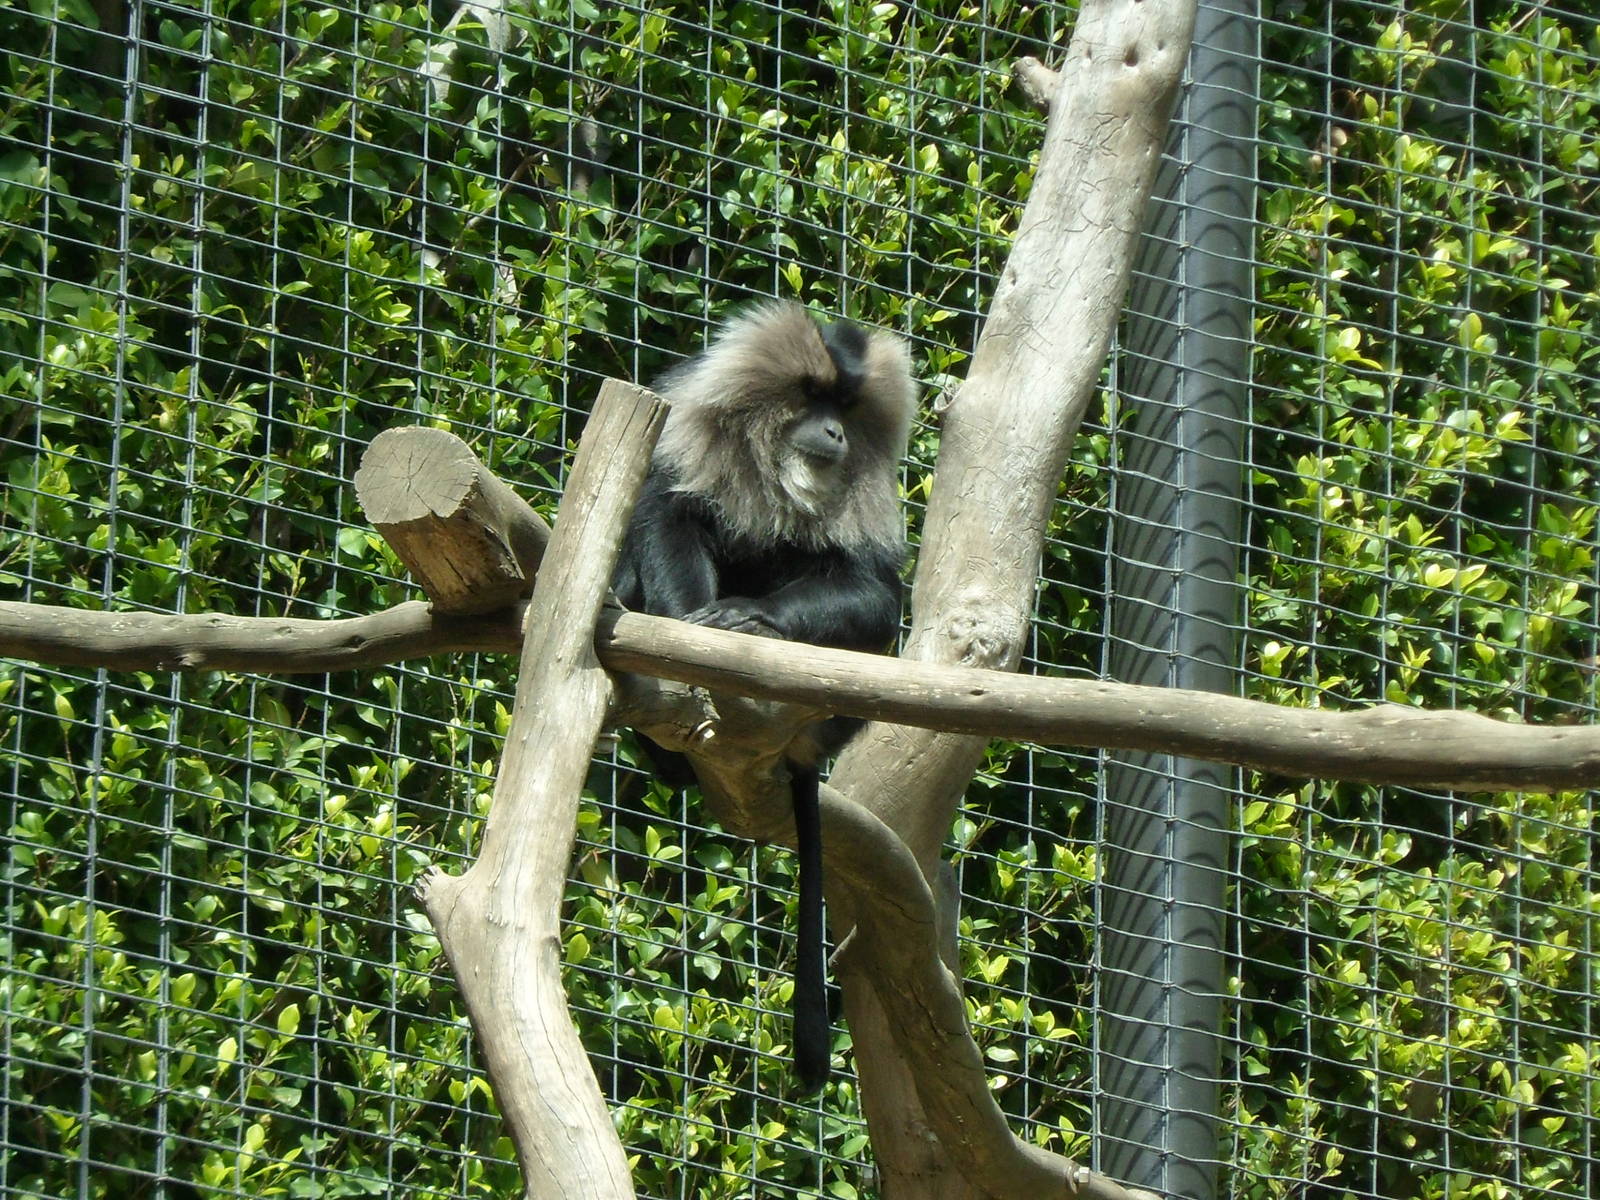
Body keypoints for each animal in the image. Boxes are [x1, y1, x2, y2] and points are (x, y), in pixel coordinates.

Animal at [612, 300, 915, 1092]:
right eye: (812, 397)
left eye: (847, 408)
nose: (836, 433)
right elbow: (665, 516)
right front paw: (695, 633)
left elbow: (874, 594)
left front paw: (750, 620)